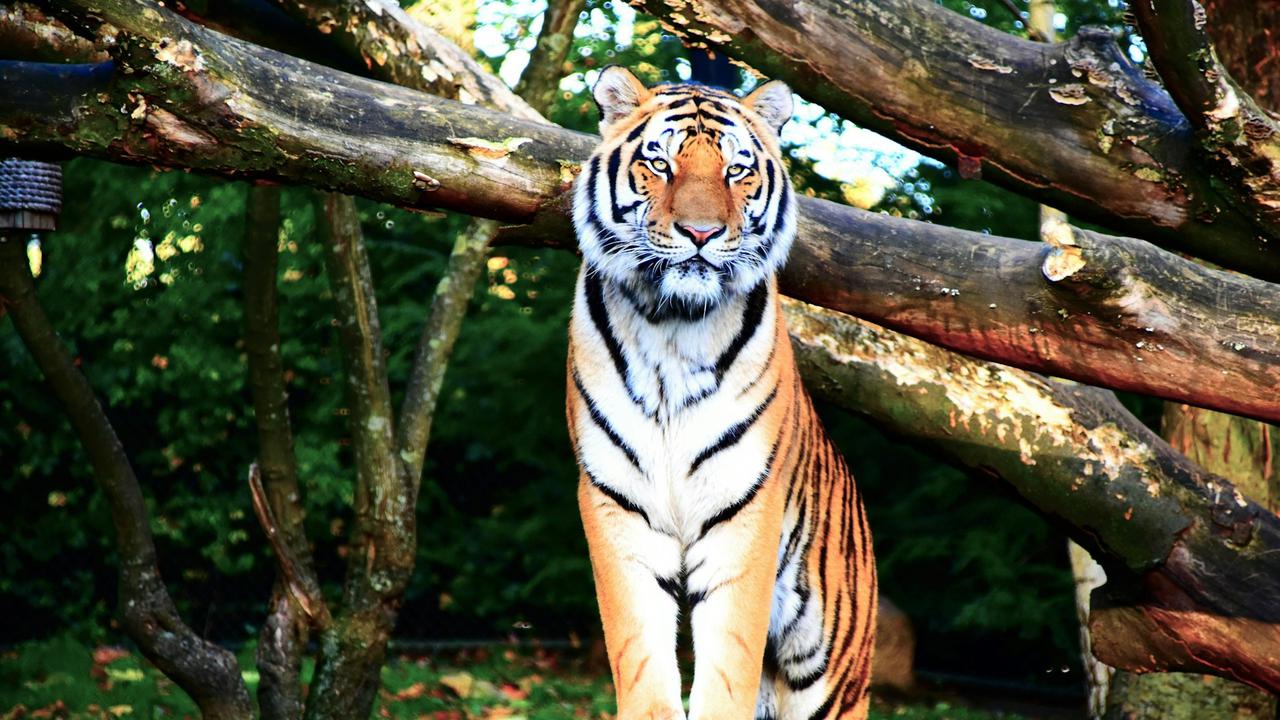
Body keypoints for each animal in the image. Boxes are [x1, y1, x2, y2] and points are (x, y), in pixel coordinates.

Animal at [566, 66, 877, 720]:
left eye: (737, 169)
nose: (702, 233)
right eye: (659, 163)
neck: (671, 324)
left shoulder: (745, 507)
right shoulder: (617, 504)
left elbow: (728, 662)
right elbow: (640, 657)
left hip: (832, 673)